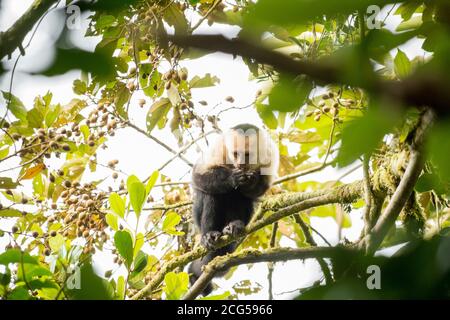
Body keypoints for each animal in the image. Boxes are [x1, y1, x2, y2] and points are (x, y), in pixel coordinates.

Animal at [186, 122, 278, 296]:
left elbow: (262, 186)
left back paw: (234, 225)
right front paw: (231, 178)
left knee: (242, 199)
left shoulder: (269, 154)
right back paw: (210, 234)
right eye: (235, 154)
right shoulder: (219, 148)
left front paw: (251, 182)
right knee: (212, 194)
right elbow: (198, 175)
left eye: (247, 155)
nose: (240, 164)